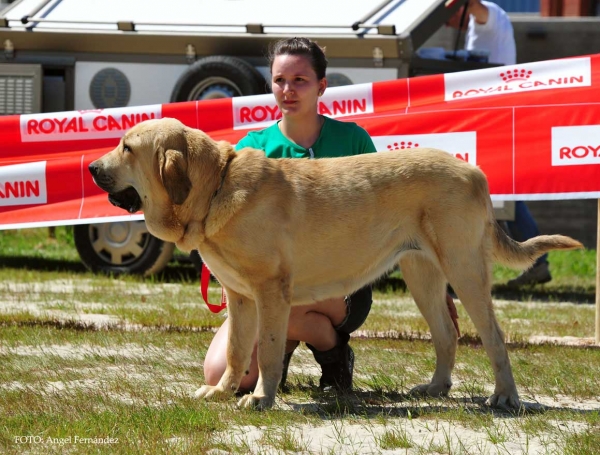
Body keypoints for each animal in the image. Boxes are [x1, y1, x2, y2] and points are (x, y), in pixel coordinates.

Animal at [89, 117, 580, 410]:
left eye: (127, 147)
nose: (92, 167)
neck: (215, 187)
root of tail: (475, 172)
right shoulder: (241, 299)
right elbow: (236, 352)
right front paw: (221, 390)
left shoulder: (271, 294)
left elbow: (268, 352)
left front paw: (262, 398)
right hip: (423, 276)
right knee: (447, 335)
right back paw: (436, 388)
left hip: (465, 271)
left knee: (494, 337)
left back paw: (506, 397)